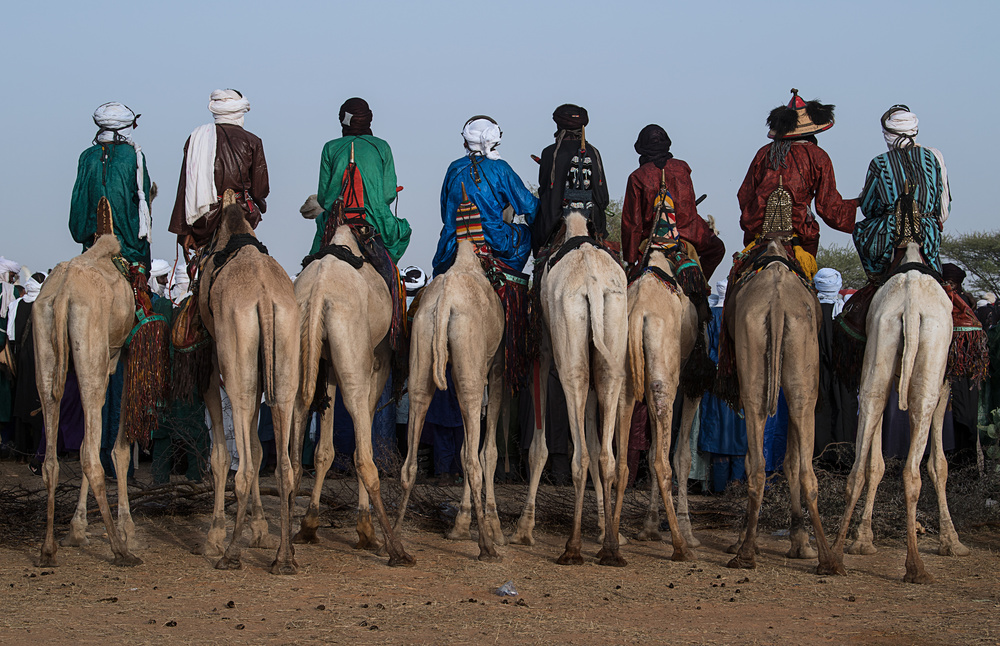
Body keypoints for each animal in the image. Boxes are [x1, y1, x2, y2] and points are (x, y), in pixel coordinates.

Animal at [198, 190, 298, 576]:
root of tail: (266, 299)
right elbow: (256, 447)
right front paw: (259, 531)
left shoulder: (213, 363)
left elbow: (221, 454)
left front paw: (215, 537)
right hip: (284, 350)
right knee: (282, 464)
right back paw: (285, 557)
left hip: (236, 355)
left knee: (241, 462)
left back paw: (229, 554)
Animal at [290, 201, 414, 568]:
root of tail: (318, 293)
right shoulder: (377, 361)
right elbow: (362, 442)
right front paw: (363, 530)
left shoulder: (328, 366)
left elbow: (323, 451)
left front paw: (310, 523)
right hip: (355, 360)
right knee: (364, 458)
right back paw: (392, 547)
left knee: (293, 458)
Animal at [394, 237, 508, 560]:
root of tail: (445, 302)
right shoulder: (495, 366)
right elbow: (486, 451)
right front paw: (493, 529)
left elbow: (465, 445)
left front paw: (459, 525)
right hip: (470, 362)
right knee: (473, 460)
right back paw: (487, 547)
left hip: (422, 346)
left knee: (410, 459)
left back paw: (396, 546)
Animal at [512, 213, 628, 568]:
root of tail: (592, 283)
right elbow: (594, 437)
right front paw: (604, 527)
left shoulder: (542, 351)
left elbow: (539, 447)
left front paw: (523, 529)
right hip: (610, 342)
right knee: (604, 454)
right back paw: (610, 549)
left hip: (569, 349)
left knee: (580, 454)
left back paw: (572, 547)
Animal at [720, 240, 844, 576]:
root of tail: (776, 303)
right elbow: (789, 460)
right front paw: (799, 542)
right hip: (798, 369)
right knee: (796, 467)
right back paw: (825, 559)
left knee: (763, 464)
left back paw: (748, 552)